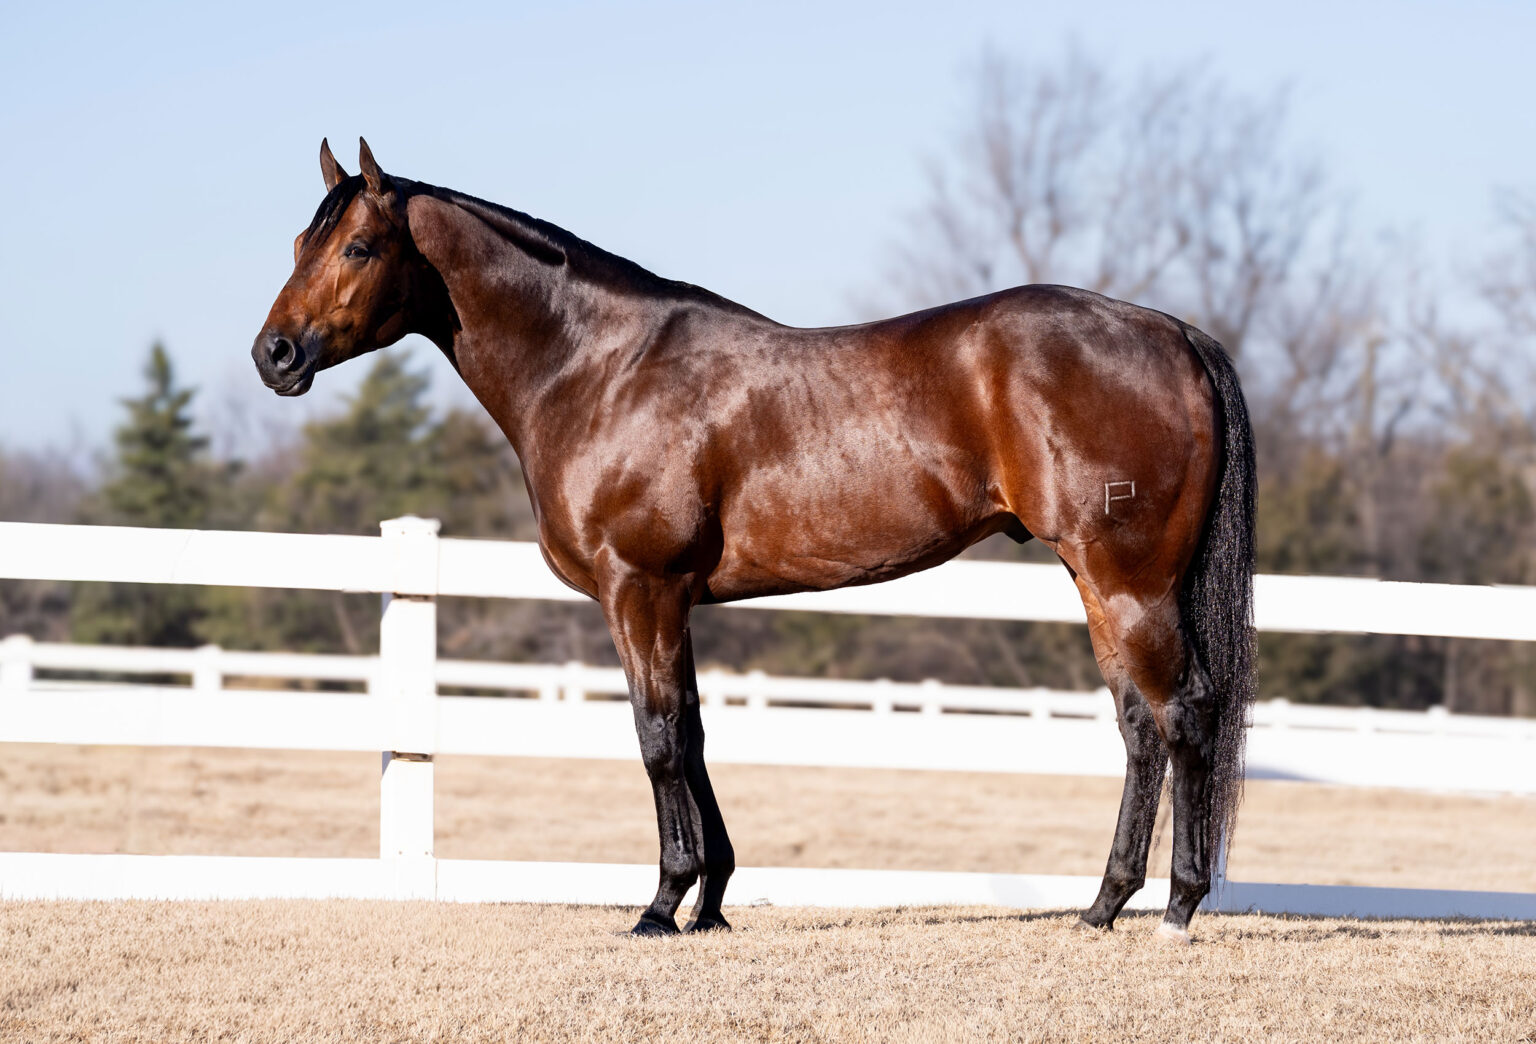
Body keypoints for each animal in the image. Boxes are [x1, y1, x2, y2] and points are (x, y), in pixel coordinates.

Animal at [252, 139, 1256, 943]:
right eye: (299, 244)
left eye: (358, 247)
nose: (275, 356)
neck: (600, 367)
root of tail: (1174, 333)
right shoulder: (674, 601)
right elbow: (695, 733)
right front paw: (711, 904)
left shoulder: (640, 588)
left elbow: (657, 736)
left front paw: (661, 905)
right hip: (1100, 581)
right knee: (1139, 725)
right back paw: (1102, 906)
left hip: (1127, 578)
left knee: (1183, 713)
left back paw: (1175, 909)